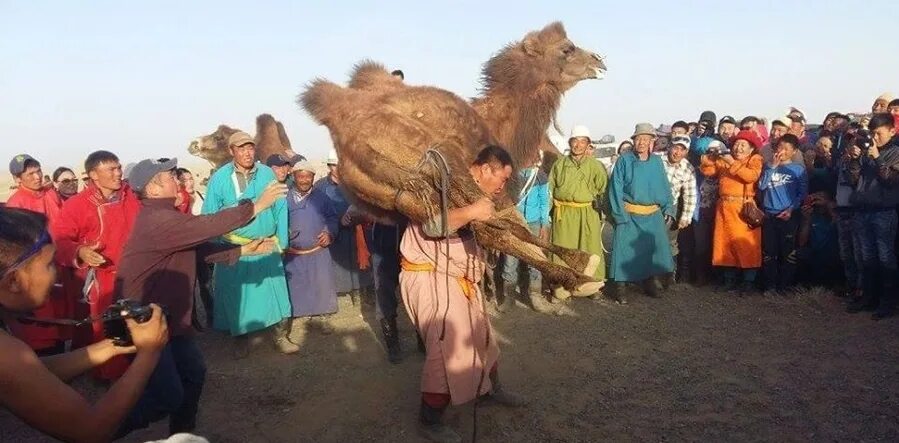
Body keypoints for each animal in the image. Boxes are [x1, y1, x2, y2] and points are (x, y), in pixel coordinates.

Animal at [300, 21, 604, 294]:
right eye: (567, 48)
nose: (599, 61)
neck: (496, 124)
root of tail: (347, 132)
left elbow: (513, 229)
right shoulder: (495, 185)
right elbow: (516, 229)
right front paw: (583, 266)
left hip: (402, 195)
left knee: (474, 226)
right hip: (441, 161)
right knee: (490, 228)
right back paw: (578, 275)